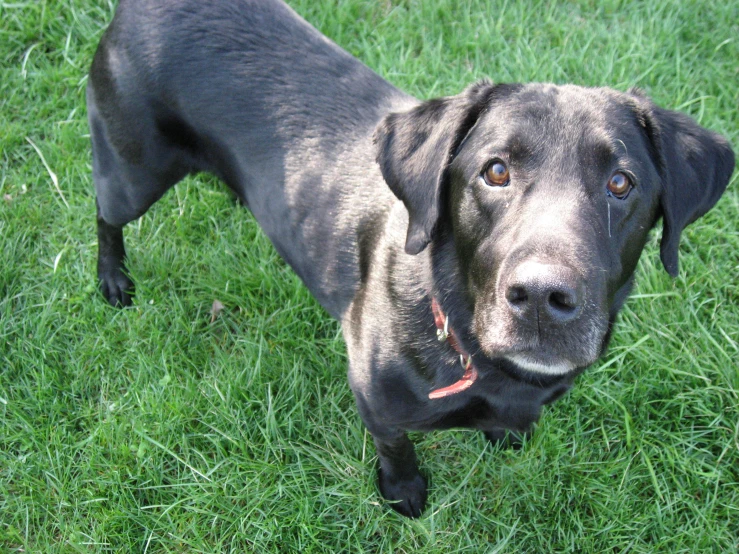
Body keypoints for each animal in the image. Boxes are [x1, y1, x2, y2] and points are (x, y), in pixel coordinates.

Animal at [86, 0, 736, 516]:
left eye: (621, 183)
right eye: (494, 171)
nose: (541, 299)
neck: (461, 331)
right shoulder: (374, 395)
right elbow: (396, 445)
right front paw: (403, 494)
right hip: (133, 170)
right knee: (104, 214)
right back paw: (113, 280)